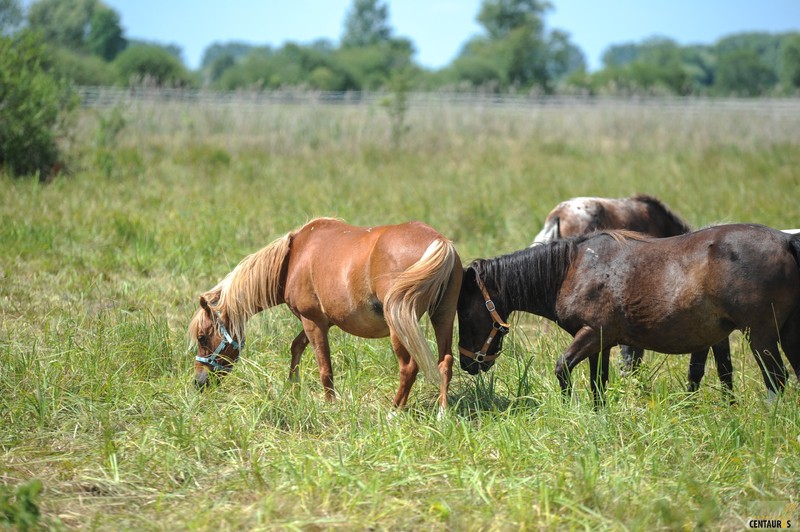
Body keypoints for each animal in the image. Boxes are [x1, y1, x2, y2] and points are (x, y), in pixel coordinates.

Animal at [189, 218, 462, 414]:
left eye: (203, 337)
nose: (199, 382)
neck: (293, 257)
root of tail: (439, 241)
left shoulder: (313, 321)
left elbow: (324, 368)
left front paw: (330, 404)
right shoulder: (321, 321)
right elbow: (296, 346)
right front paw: (293, 387)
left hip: (399, 325)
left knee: (409, 367)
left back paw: (394, 411)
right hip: (443, 316)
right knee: (445, 361)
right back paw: (442, 412)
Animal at [456, 224, 800, 408]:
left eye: (465, 312)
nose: (468, 364)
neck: (572, 269)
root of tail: (786, 240)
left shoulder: (592, 335)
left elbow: (562, 368)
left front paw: (570, 408)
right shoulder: (602, 344)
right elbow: (598, 383)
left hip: (761, 337)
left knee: (777, 379)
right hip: (787, 334)